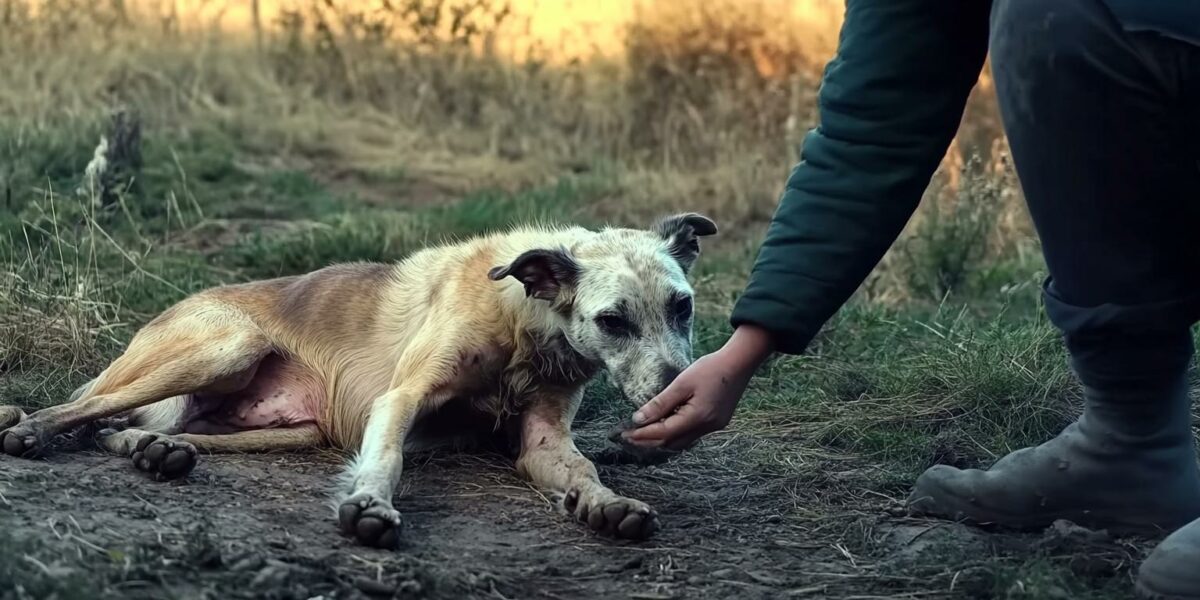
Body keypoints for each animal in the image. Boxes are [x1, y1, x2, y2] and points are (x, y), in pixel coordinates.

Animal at [0, 212, 710, 549]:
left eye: (683, 307)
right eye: (613, 321)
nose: (677, 392)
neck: (522, 323)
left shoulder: (545, 440)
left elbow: (583, 469)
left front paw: (608, 504)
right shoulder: (403, 397)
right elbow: (386, 459)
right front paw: (370, 505)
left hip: (294, 428)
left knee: (120, 427)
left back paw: (157, 453)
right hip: (226, 347)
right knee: (88, 408)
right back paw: (35, 431)